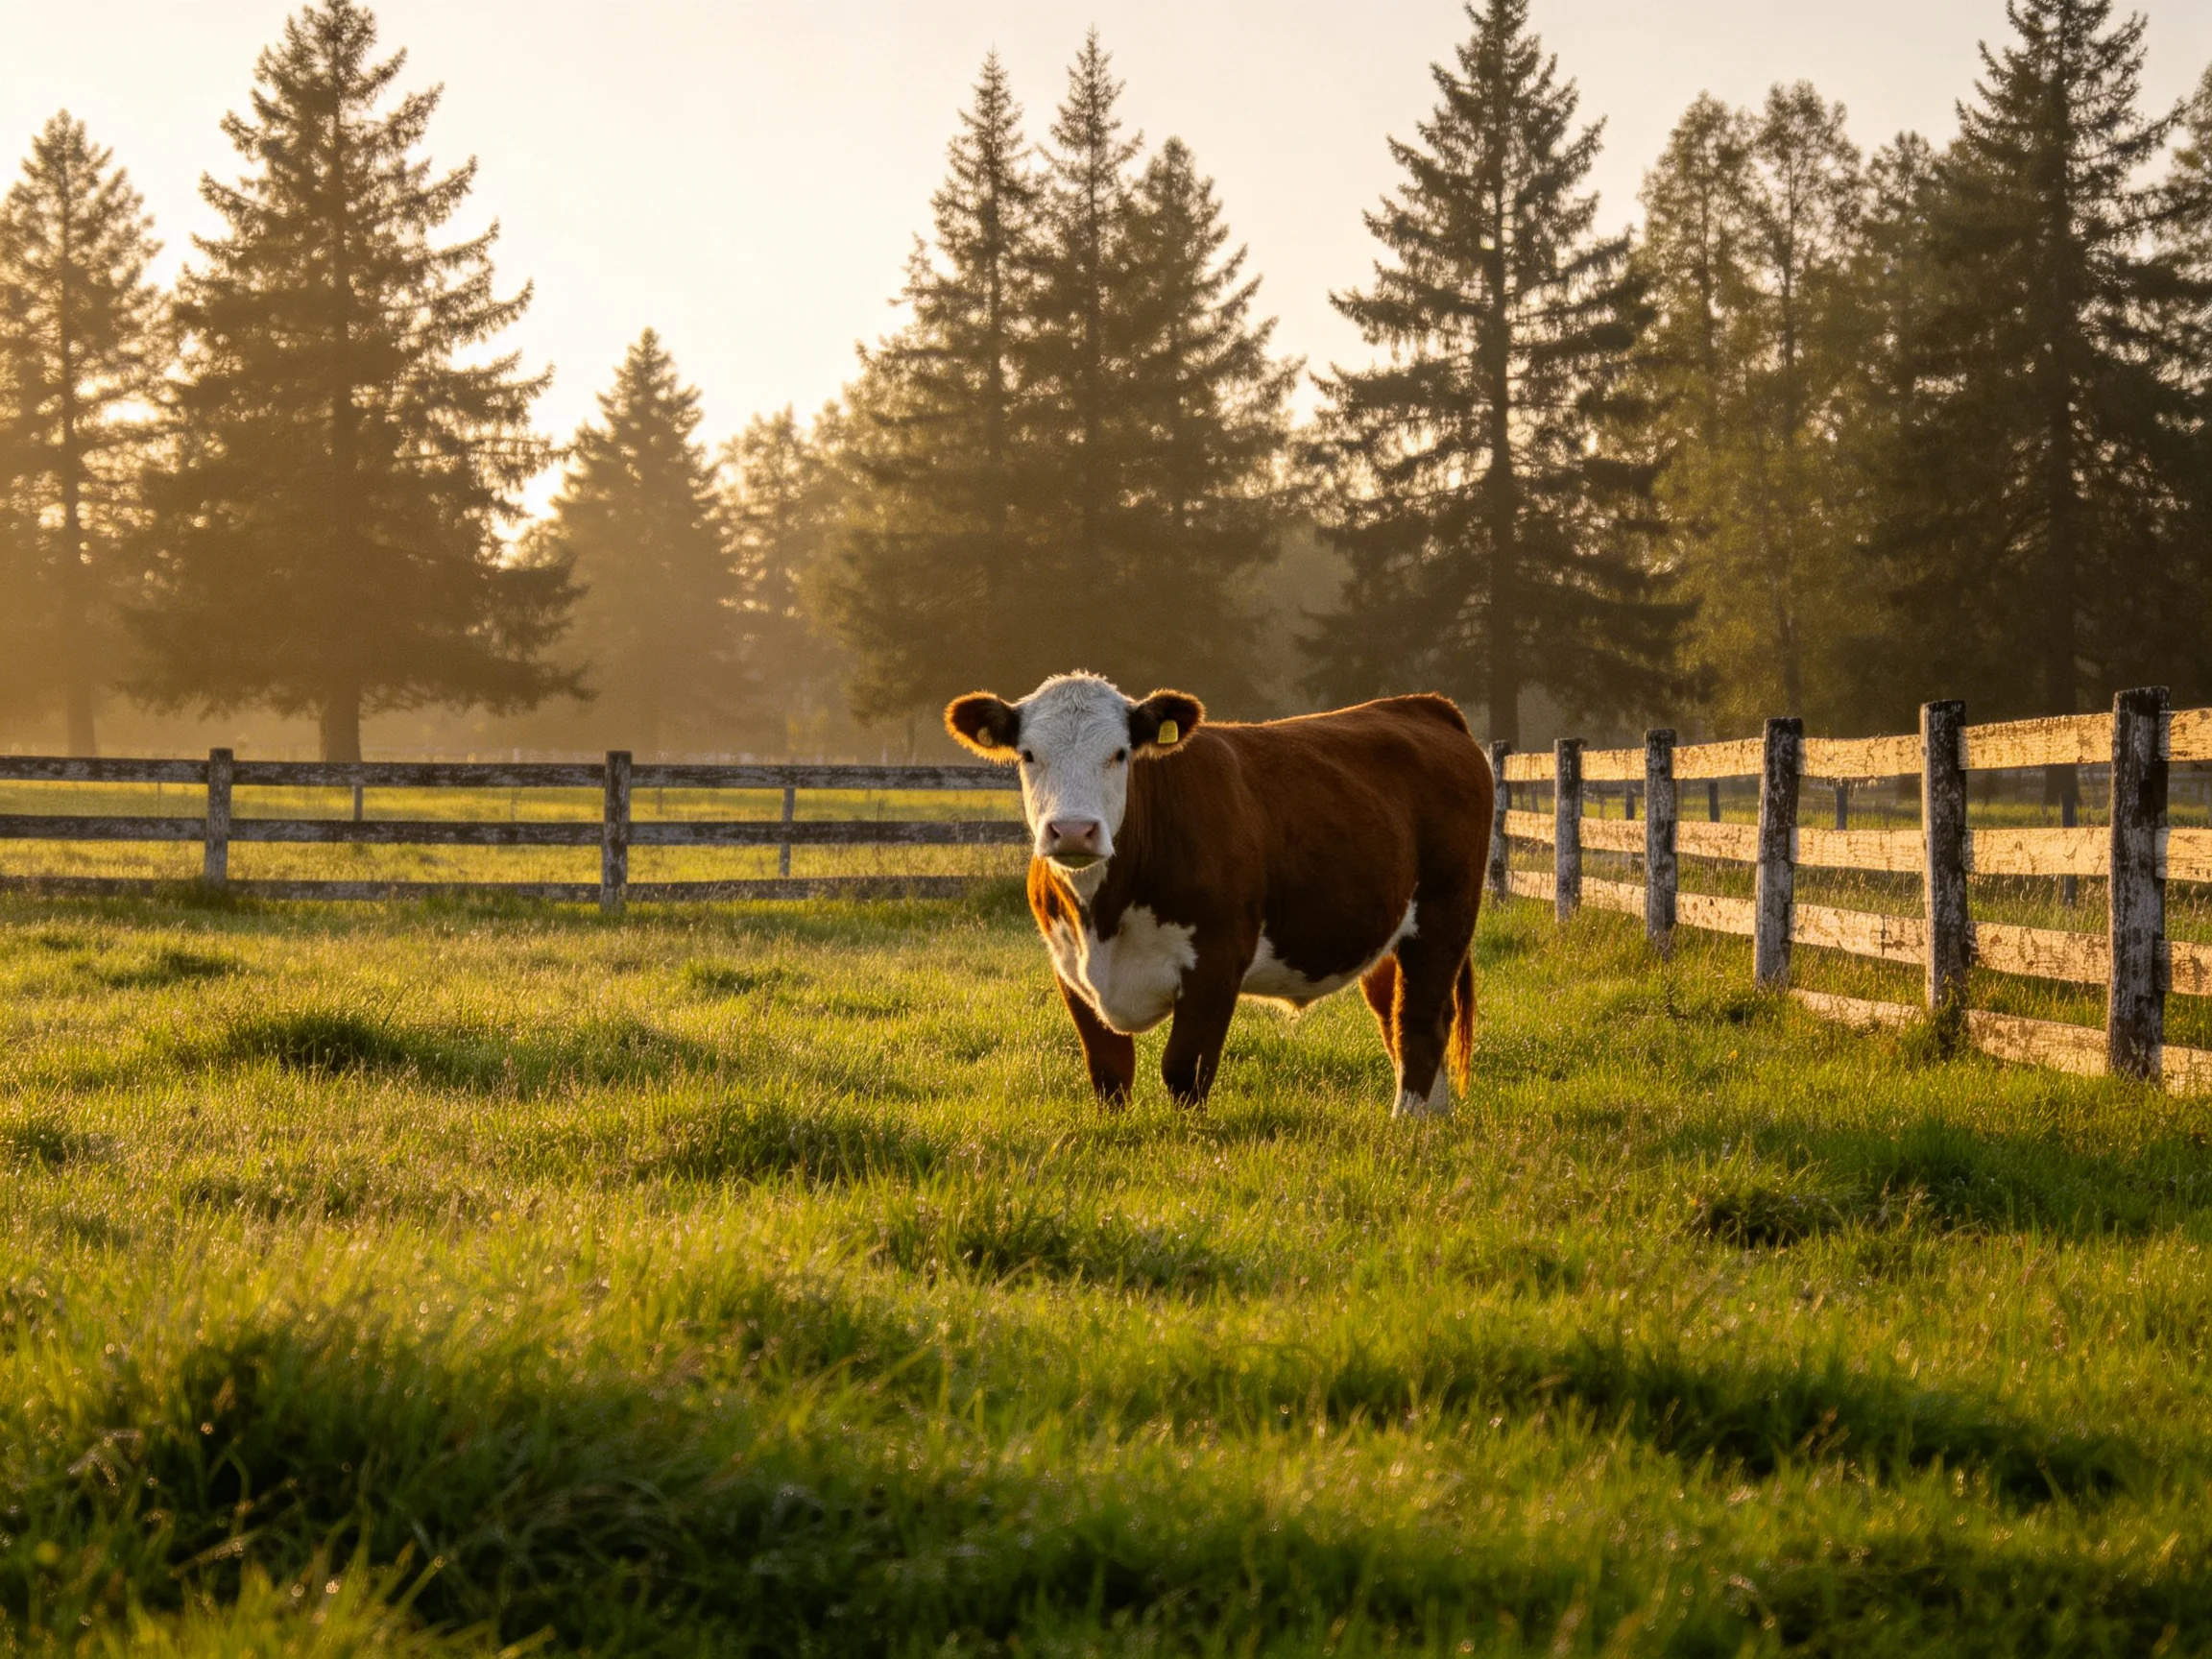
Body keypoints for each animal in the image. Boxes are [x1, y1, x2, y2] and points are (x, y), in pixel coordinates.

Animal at [945, 673, 1495, 1116]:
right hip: (1384, 932)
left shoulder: (1215, 961)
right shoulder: (1069, 966)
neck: (1103, 916)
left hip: (1445, 913)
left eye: (1120, 753)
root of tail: (1421, 705)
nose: (1075, 831)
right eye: (1028, 754)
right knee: (1402, 1016)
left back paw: (1409, 1124)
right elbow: (1109, 1073)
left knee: (1420, 1020)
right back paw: (1434, 1118)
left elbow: (1184, 1071)